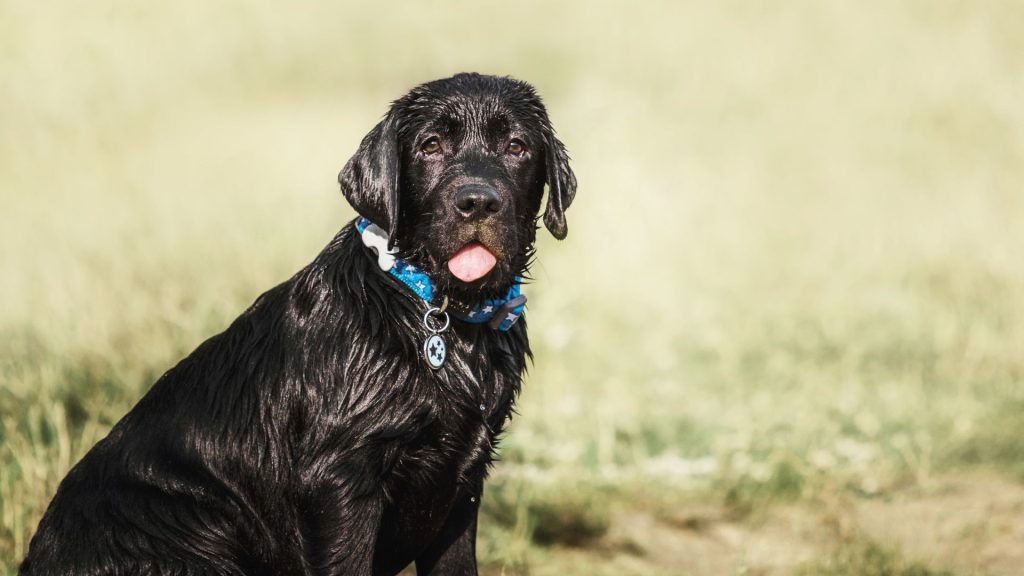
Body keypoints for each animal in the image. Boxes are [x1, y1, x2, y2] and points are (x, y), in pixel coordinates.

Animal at [19, 72, 577, 573]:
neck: (434, 311)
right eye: (431, 145)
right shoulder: (341, 482)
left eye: (517, 146)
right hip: (195, 526)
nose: (478, 202)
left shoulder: (462, 485)